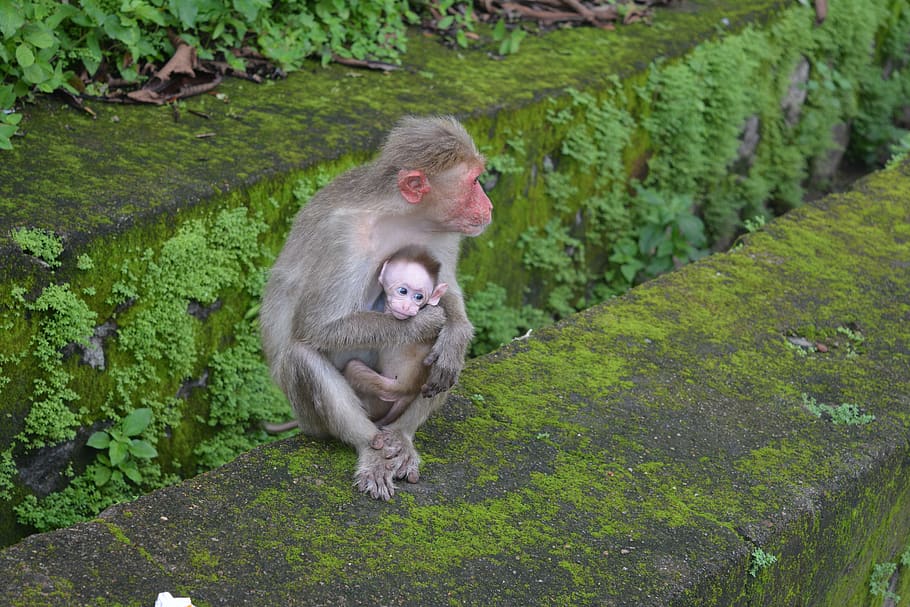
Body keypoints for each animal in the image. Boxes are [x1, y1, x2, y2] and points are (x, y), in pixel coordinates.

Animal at [343, 245, 448, 428]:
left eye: (419, 297)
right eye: (402, 291)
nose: (407, 306)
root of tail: (410, 392)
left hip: (389, 390)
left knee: (353, 368)